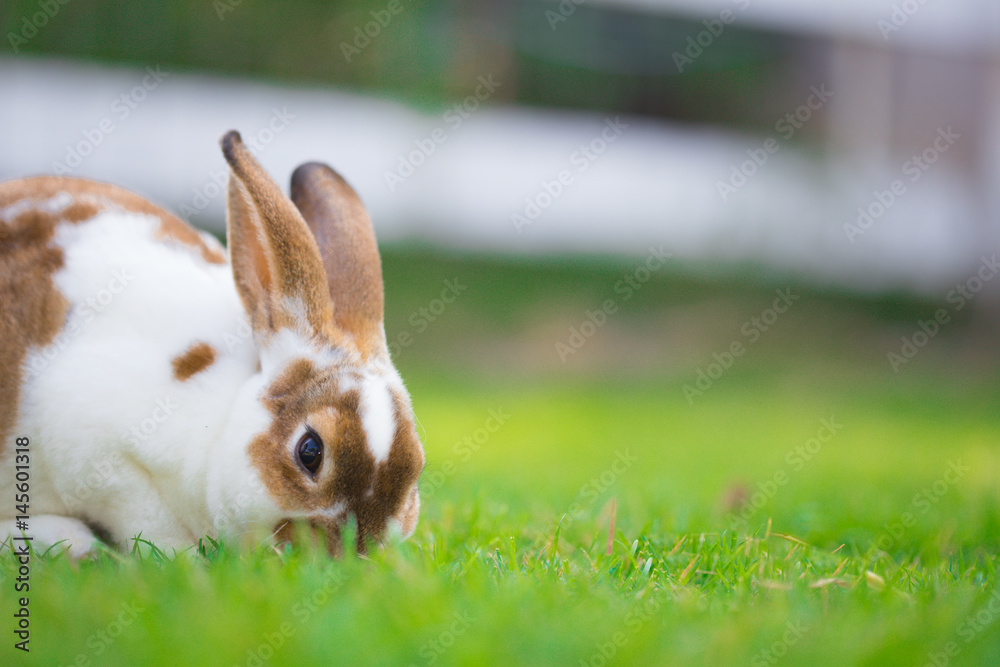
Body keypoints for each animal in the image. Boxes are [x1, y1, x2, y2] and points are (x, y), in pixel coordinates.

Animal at [0, 130, 426, 560]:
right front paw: (181, 558)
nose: (354, 555)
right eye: (310, 452)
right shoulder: (106, 461)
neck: (221, 421)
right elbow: (150, 523)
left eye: (417, 467)